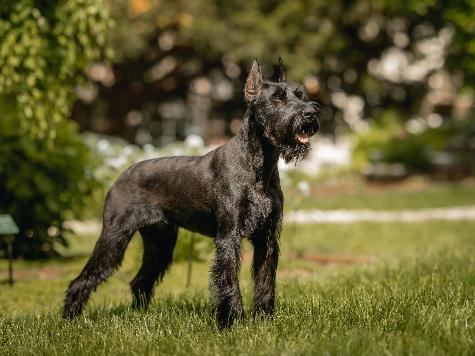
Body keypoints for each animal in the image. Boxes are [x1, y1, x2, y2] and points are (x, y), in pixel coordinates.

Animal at [62, 58, 320, 328]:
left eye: (300, 94)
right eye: (277, 97)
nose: (311, 112)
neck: (259, 167)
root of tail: (121, 175)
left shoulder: (267, 238)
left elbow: (265, 280)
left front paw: (263, 319)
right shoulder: (229, 237)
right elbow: (228, 281)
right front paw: (231, 322)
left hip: (160, 243)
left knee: (140, 280)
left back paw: (139, 316)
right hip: (114, 237)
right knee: (83, 279)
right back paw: (70, 318)